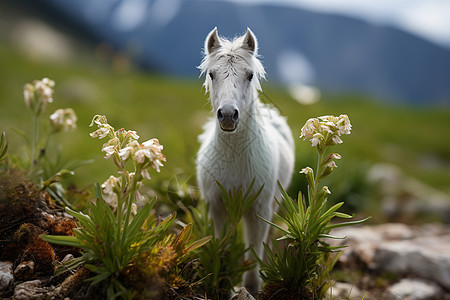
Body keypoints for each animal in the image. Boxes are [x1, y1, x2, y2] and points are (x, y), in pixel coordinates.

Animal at [196, 27, 296, 290]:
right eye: (211, 74)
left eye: (250, 75)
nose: (228, 115)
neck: (235, 159)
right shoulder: (217, 208)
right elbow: (219, 244)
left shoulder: (259, 211)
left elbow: (254, 252)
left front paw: (251, 286)